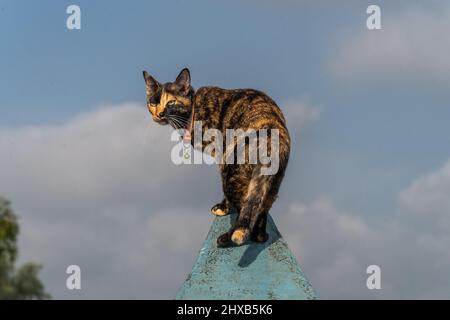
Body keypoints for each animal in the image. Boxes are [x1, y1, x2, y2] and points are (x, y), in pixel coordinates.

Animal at [144, 67, 292, 248]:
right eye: (153, 102)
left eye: (171, 102)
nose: (160, 114)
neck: (193, 110)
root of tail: (271, 135)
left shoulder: (221, 155)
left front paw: (222, 208)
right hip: (272, 182)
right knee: (260, 210)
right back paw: (260, 236)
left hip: (231, 170)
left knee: (243, 207)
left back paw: (226, 238)